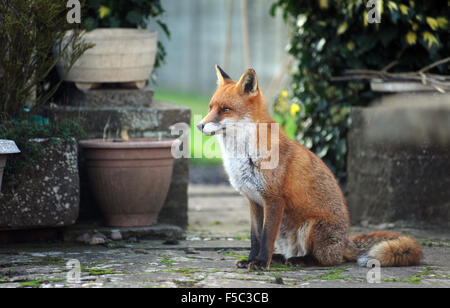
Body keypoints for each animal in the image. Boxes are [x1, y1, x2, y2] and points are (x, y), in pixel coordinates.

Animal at [197, 65, 422, 270]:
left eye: (225, 109)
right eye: (210, 107)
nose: (199, 125)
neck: (243, 155)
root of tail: (344, 242)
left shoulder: (273, 199)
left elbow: (266, 237)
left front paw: (260, 263)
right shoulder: (254, 201)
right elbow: (256, 238)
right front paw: (251, 260)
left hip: (310, 226)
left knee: (325, 260)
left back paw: (300, 261)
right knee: (293, 252)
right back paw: (281, 258)